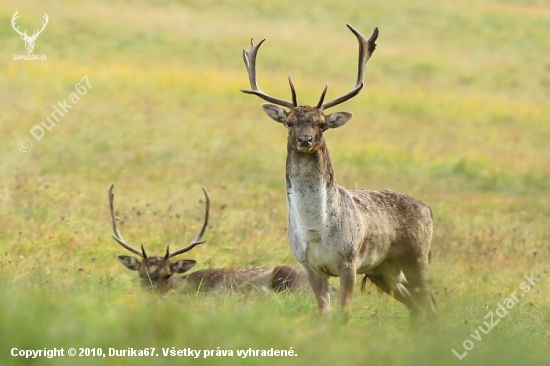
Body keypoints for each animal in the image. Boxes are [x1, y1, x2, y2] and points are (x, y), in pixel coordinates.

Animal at [242, 23, 440, 320]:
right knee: (418, 306)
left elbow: (344, 315)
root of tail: (427, 208)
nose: (305, 140)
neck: (316, 230)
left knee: (430, 303)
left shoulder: (349, 260)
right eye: (289, 122)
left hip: (416, 256)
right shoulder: (309, 265)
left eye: (322, 123)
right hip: (384, 270)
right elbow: (324, 313)